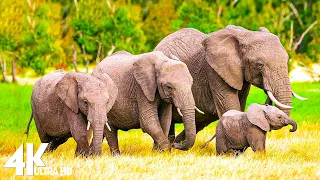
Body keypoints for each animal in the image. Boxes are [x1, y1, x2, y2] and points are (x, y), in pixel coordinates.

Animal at [155, 25, 308, 143]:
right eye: (260, 64)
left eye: (287, 60)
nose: (290, 129)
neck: (247, 34)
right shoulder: (215, 72)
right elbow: (231, 106)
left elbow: (240, 106)